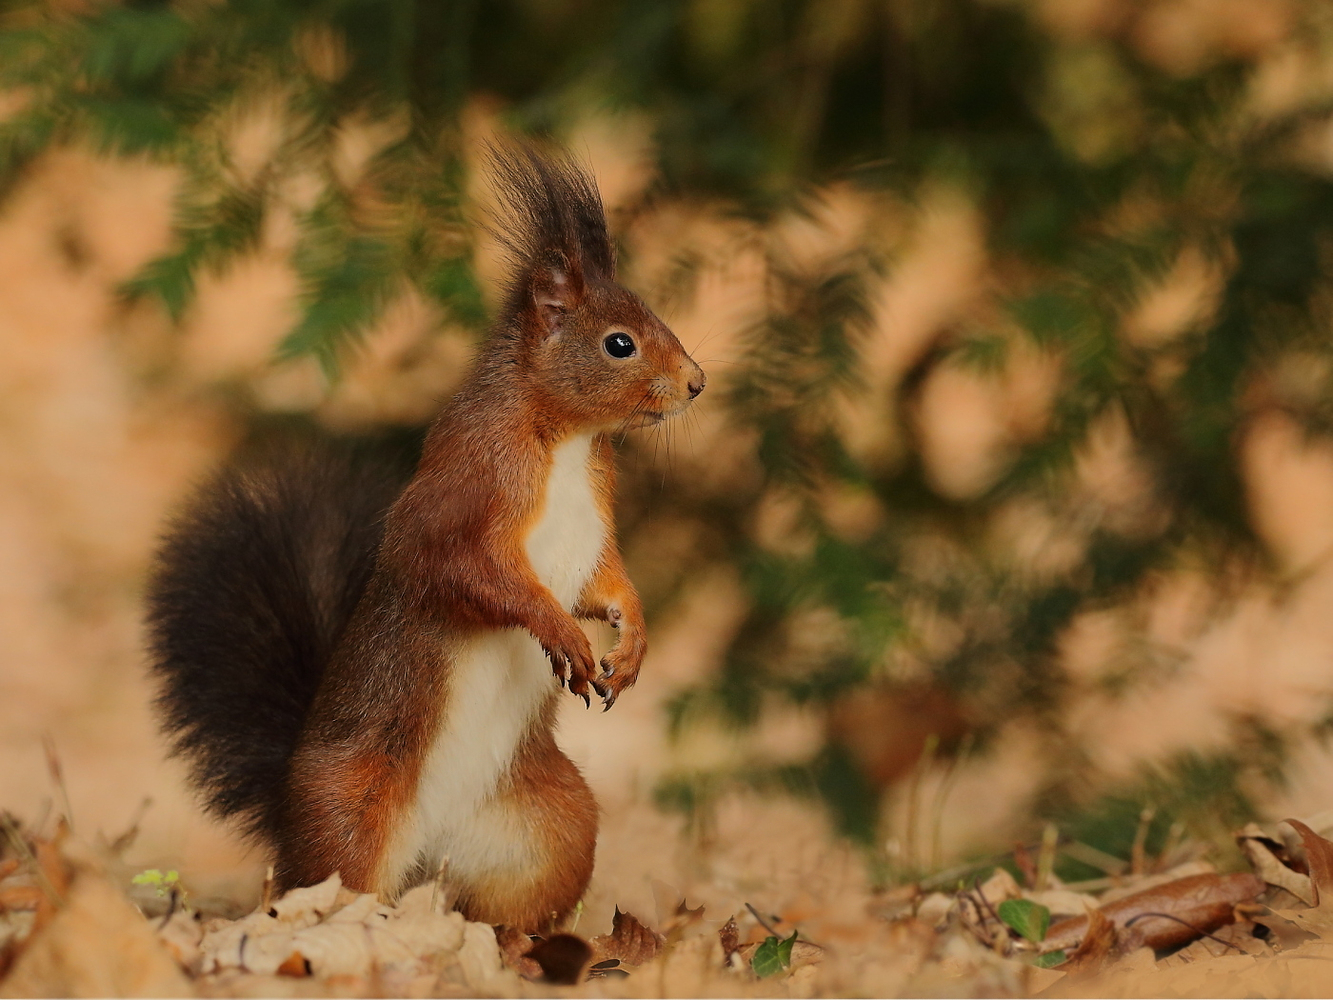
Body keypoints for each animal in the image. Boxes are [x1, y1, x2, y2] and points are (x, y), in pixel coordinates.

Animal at [145, 144, 703, 938]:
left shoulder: (594, 529)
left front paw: (631, 645)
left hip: (551, 823)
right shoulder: (461, 495)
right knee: (332, 882)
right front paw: (560, 631)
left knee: (504, 901)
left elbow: (608, 582)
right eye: (618, 343)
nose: (697, 382)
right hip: (351, 808)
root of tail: (428, 855)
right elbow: (467, 572)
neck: (565, 439)